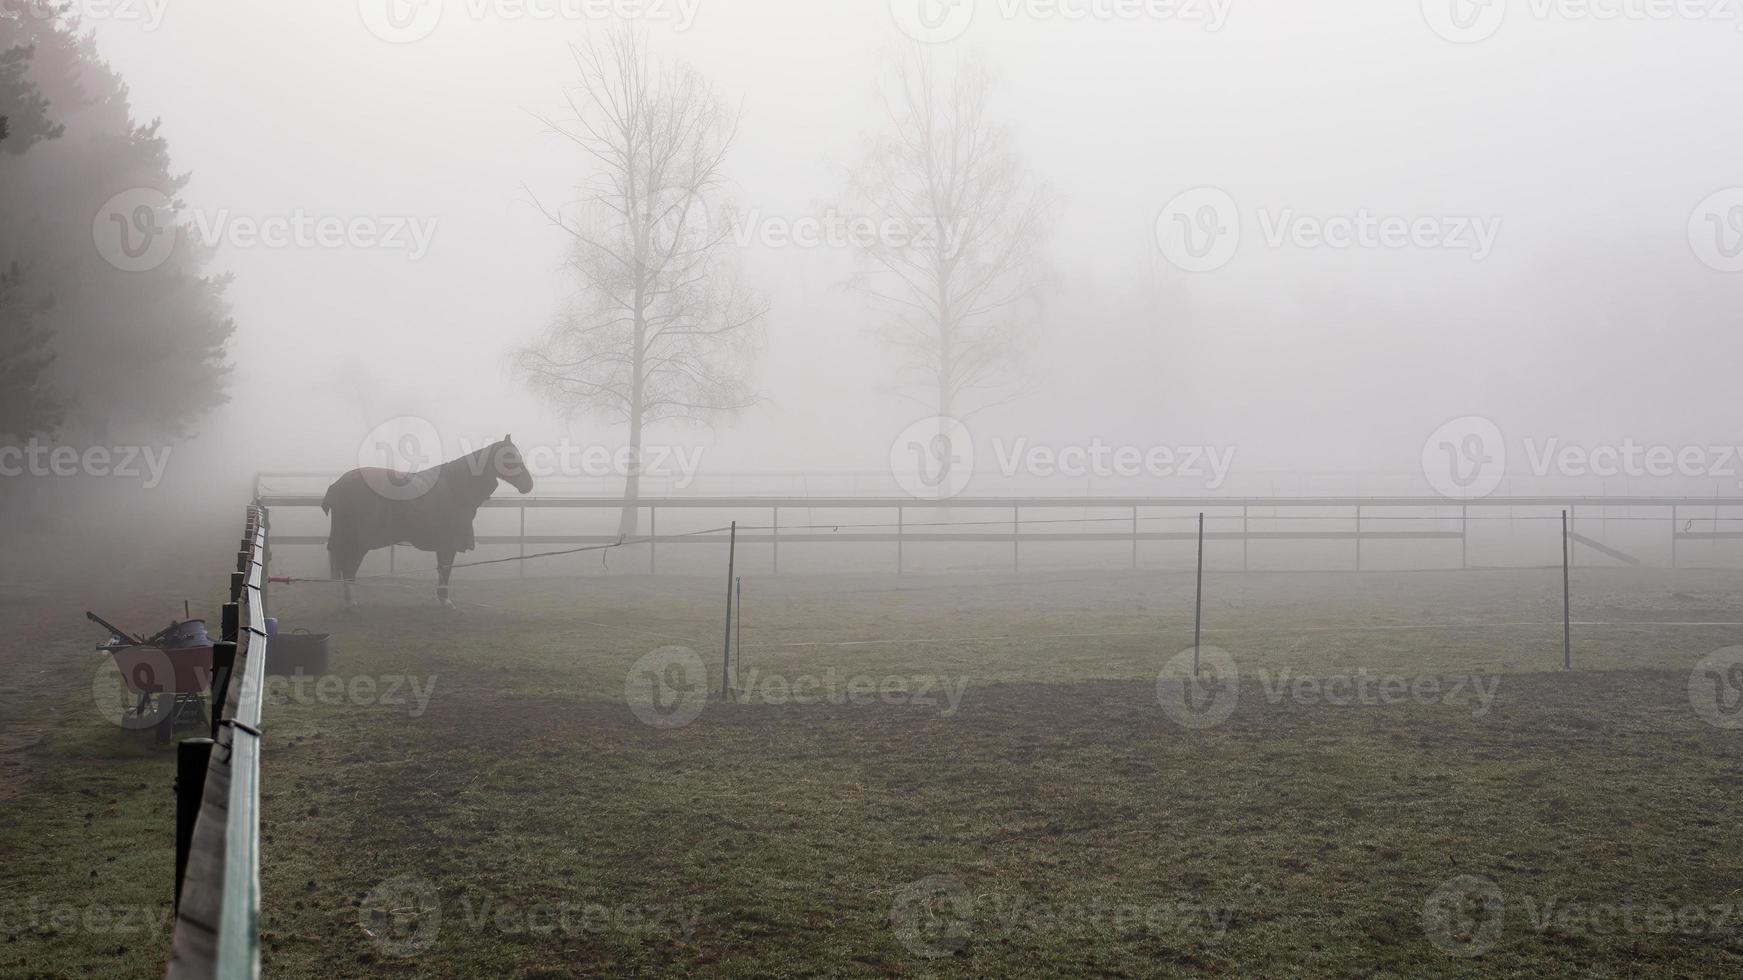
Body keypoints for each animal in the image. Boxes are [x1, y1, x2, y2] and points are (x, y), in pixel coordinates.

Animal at [322, 432, 529, 603]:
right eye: (509, 457)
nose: (529, 485)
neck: (456, 487)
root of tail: (337, 486)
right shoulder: (449, 542)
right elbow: (446, 568)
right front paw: (445, 600)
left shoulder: (444, 543)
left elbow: (443, 568)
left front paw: (442, 597)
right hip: (358, 541)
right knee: (350, 568)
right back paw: (351, 602)